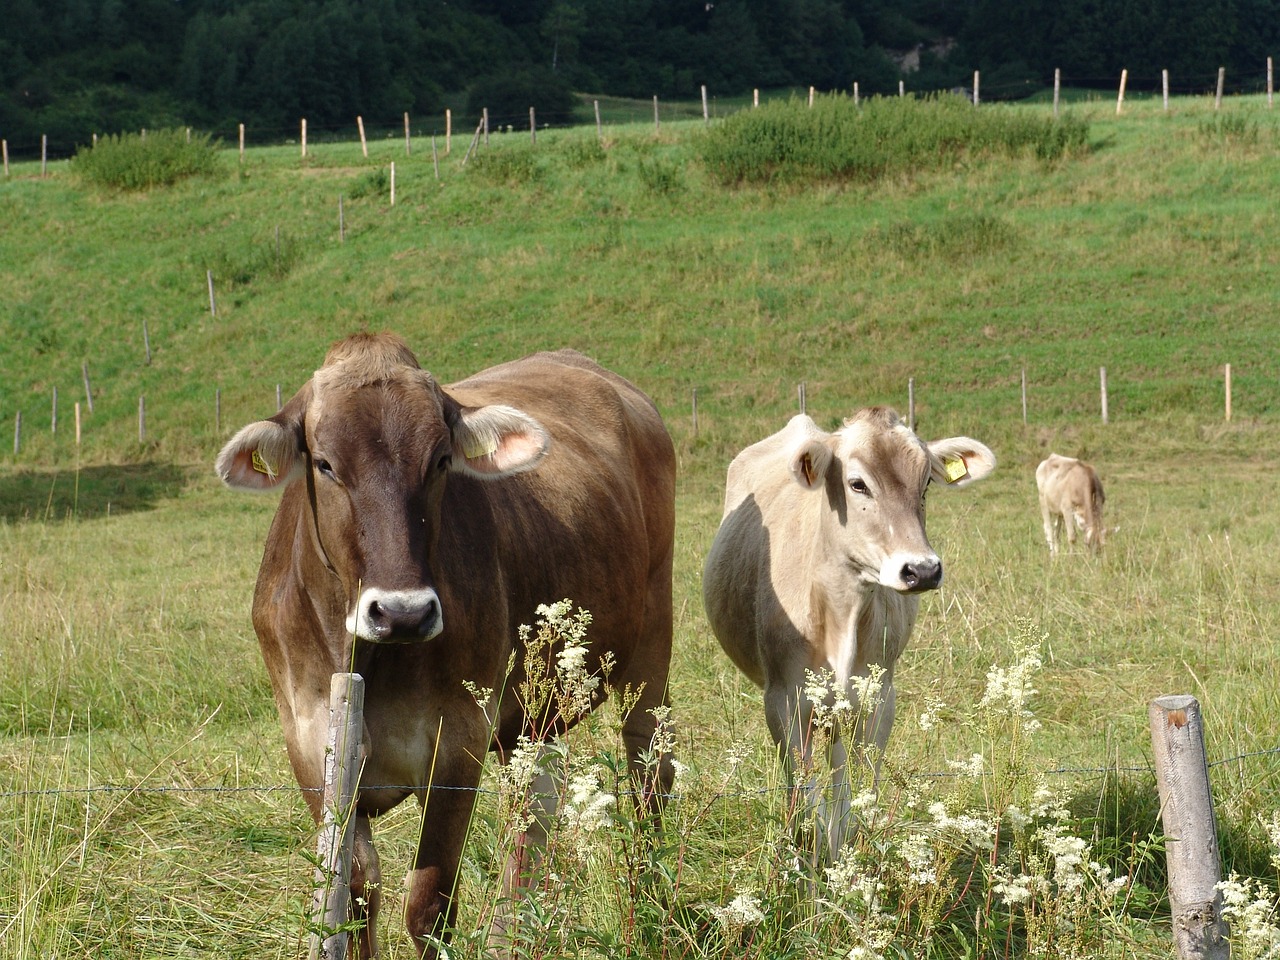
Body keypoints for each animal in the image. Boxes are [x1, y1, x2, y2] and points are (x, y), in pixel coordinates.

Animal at [217, 335, 680, 957]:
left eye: (439, 461)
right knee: (535, 810)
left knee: (648, 773)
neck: (364, 659)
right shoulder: (310, 743)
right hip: (533, 712)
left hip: (652, 640)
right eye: (325, 463)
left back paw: (648, 912)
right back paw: (516, 932)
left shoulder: (457, 739)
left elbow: (429, 906)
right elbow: (356, 893)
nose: (403, 612)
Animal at [706, 409, 993, 860]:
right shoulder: (783, 699)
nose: (922, 569)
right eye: (858, 484)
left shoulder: (880, 698)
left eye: (926, 482)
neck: (843, 613)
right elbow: (805, 791)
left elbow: (858, 792)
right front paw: (809, 856)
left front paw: (847, 857)